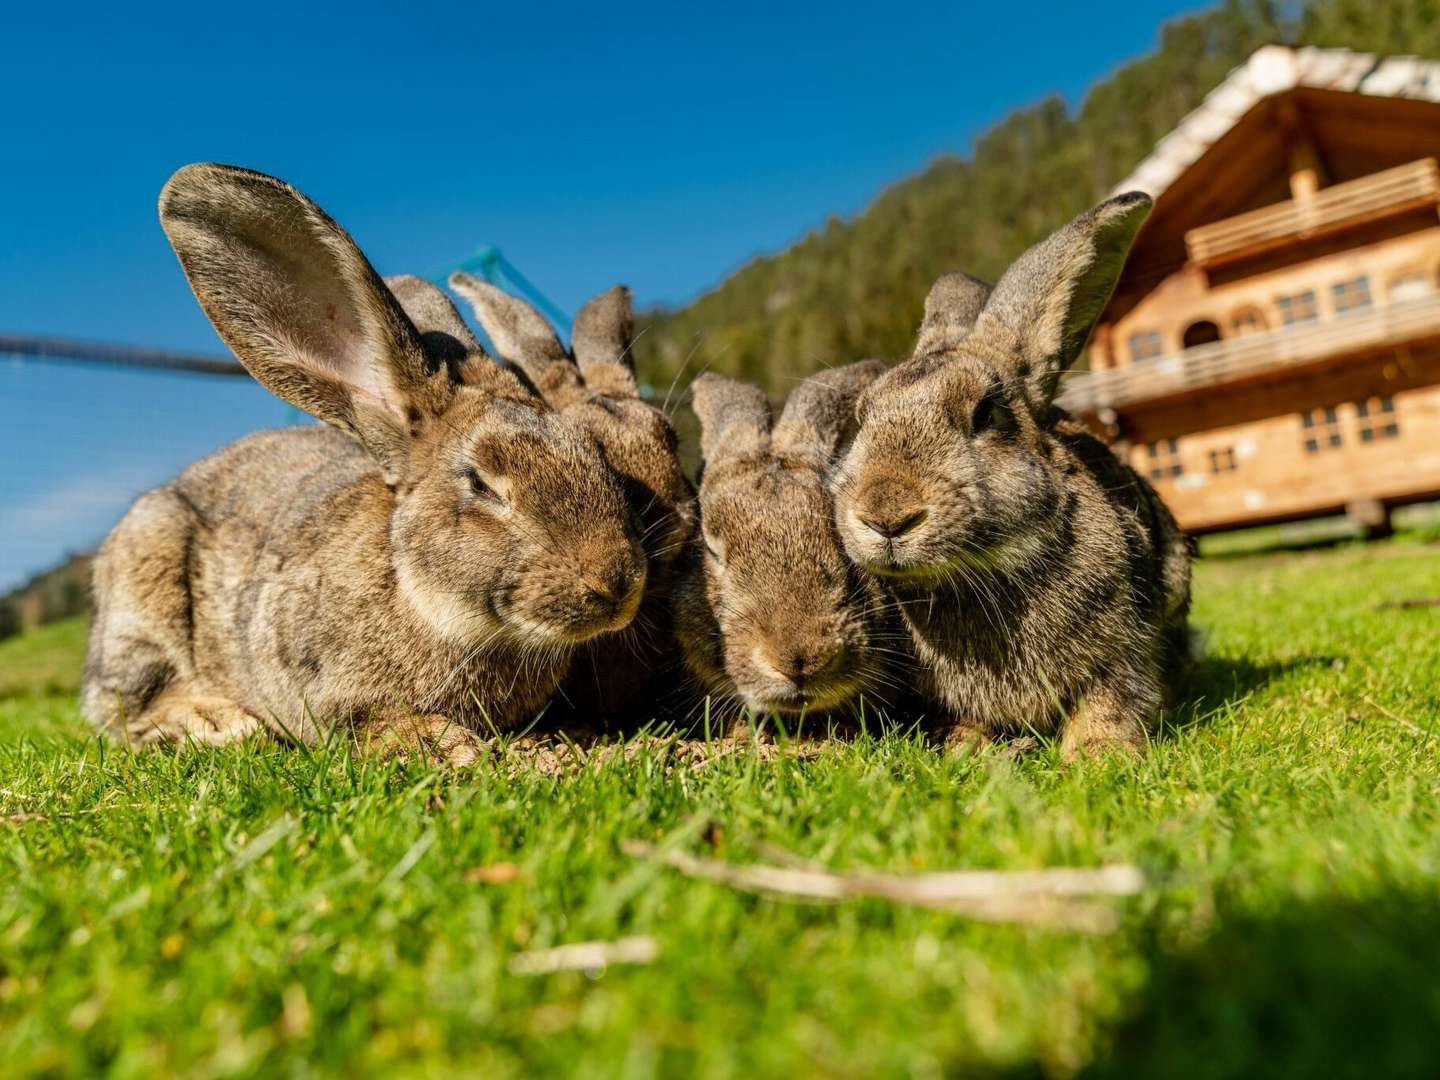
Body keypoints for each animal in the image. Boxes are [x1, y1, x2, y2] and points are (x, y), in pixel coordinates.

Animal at [78, 164, 642, 766]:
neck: (427, 600)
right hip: (145, 588)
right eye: (481, 484)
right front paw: (451, 748)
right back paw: (217, 722)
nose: (618, 584)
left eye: (591, 451)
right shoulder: (333, 699)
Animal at [835, 197, 1192, 760]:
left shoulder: (1125, 650)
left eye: (987, 413)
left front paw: (1097, 755)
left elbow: (1112, 700)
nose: (886, 517)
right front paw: (969, 747)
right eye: (860, 416)